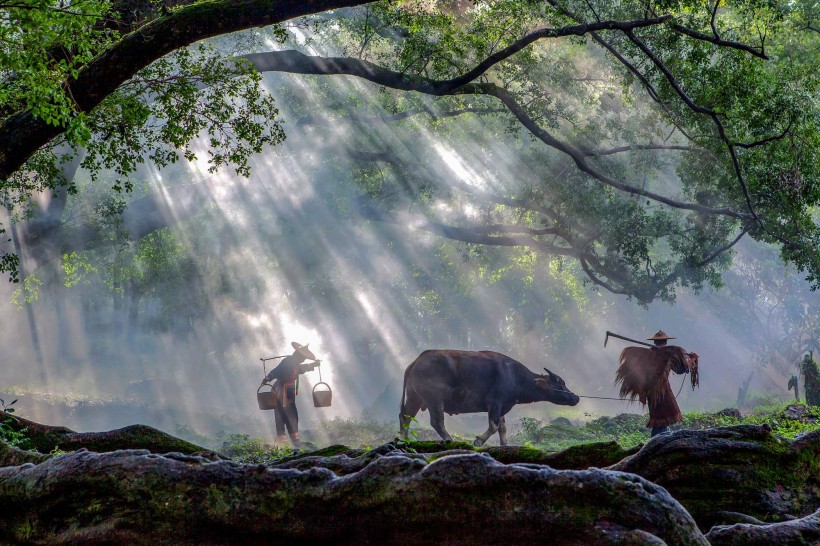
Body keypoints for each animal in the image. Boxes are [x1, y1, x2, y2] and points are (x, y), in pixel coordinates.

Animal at [398, 350, 580, 444]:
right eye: (560, 386)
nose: (576, 398)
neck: (515, 377)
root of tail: (416, 361)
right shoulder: (494, 403)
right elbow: (493, 426)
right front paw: (478, 441)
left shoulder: (502, 407)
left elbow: (502, 428)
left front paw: (504, 445)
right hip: (434, 400)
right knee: (437, 421)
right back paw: (450, 440)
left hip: (415, 398)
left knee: (405, 416)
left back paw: (404, 439)